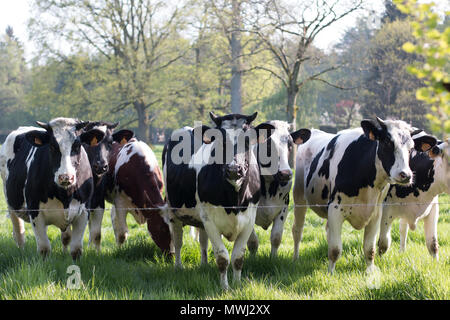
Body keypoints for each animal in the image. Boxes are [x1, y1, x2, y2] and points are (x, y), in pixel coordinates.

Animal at [0, 119, 93, 258]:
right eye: (52, 146)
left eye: (77, 146)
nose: (65, 177)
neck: (65, 195)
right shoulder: (35, 211)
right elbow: (44, 248)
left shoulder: (84, 212)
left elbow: (76, 249)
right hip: (10, 203)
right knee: (19, 233)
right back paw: (21, 251)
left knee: (66, 236)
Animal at [163, 112, 274, 290]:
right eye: (220, 141)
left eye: (248, 140)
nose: (234, 169)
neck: (234, 200)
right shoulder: (211, 222)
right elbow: (222, 257)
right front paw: (225, 287)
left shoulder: (248, 220)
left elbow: (238, 257)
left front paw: (237, 284)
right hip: (173, 210)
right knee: (178, 241)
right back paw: (178, 267)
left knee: (202, 242)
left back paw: (204, 264)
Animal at [246, 121, 310, 256]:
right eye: (268, 144)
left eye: (290, 144)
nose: (285, 173)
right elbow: (252, 241)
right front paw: (252, 258)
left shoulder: (284, 207)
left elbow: (276, 237)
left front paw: (273, 258)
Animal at [292, 119, 436, 274]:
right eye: (387, 142)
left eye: (411, 148)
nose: (406, 175)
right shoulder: (335, 210)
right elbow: (335, 249)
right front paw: (330, 273)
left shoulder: (376, 214)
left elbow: (369, 248)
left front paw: (370, 272)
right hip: (299, 197)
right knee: (297, 230)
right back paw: (296, 258)